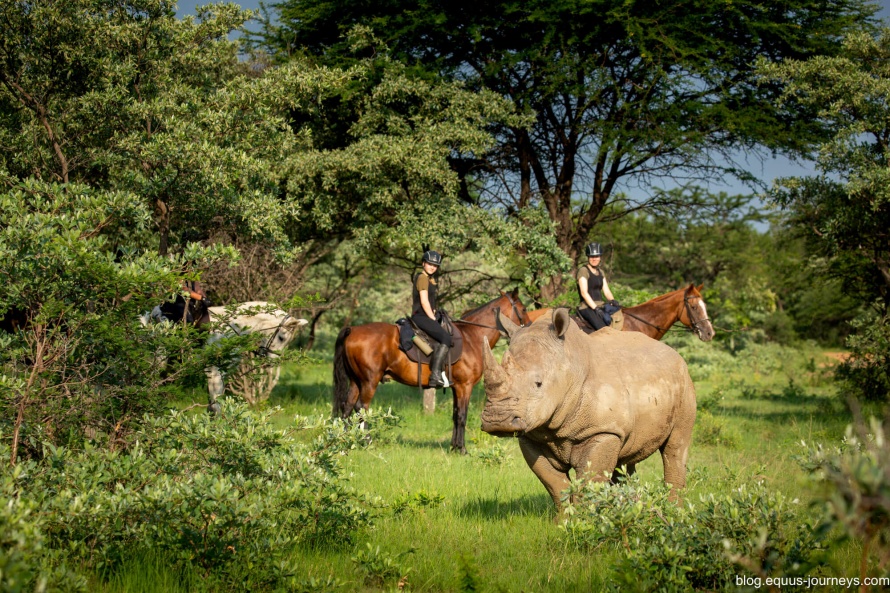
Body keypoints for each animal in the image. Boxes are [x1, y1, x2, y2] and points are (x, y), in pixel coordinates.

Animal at [332, 290, 528, 450]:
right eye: (524, 309)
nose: (529, 327)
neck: (472, 337)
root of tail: (352, 330)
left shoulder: (456, 387)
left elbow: (455, 415)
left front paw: (454, 447)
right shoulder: (465, 386)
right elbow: (462, 416)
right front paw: (462, 449)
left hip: (356, 381)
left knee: (347, 406)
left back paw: (344, 441)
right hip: (369, 381)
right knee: (361, 407)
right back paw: (367, 441)